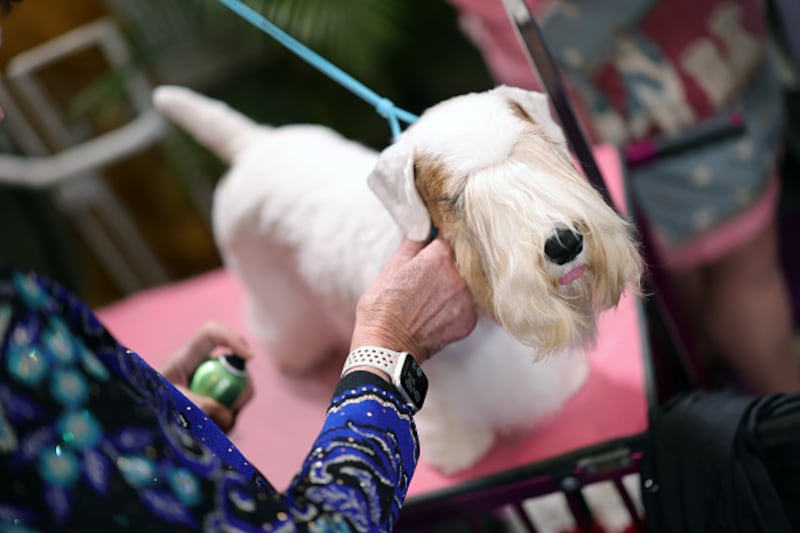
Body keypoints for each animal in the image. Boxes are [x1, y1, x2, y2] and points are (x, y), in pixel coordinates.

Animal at [153, 85, 640, 476]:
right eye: (456, 197)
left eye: (533, 155)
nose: (563, 244)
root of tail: (253, 145)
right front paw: (463, 450)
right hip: (268, 288)